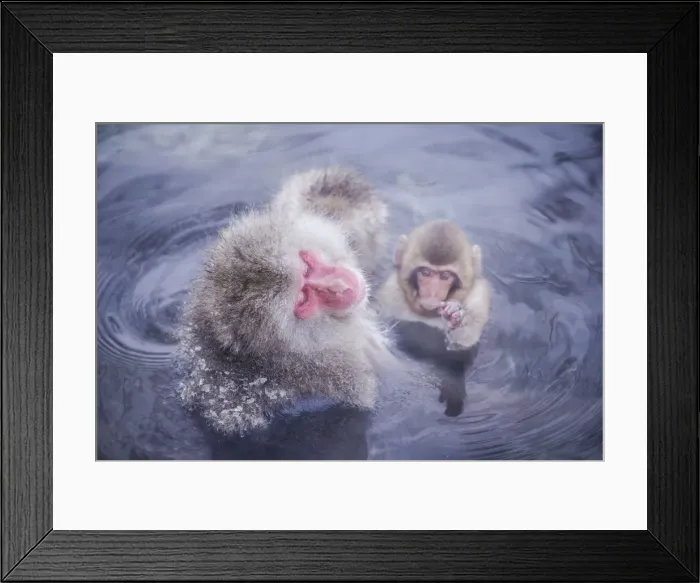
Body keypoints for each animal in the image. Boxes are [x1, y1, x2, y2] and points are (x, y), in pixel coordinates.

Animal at [375, 220, 491, 416]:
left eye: (445, 276)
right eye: (425, 273)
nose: (432, 293)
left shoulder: (479, 299)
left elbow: (462, 349)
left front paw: (454, 318)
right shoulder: (390, 294)